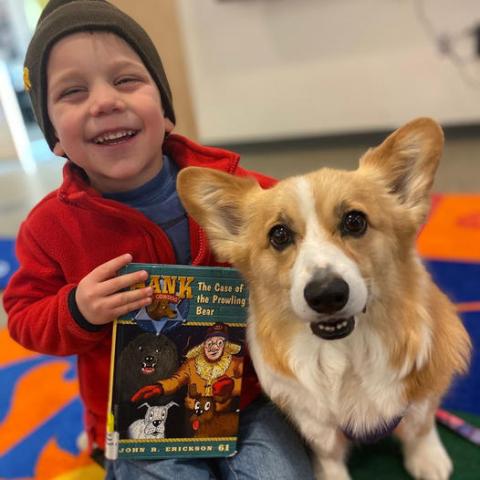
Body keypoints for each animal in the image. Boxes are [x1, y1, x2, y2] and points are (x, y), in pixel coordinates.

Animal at [176, 117, 468, 480]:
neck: (347, 353)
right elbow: (328, 453)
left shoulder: (424, 385)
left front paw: (428, 459)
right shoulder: (312, 418)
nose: (327, 294)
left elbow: (420, 424)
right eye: (279, 234)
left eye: (355, 221)